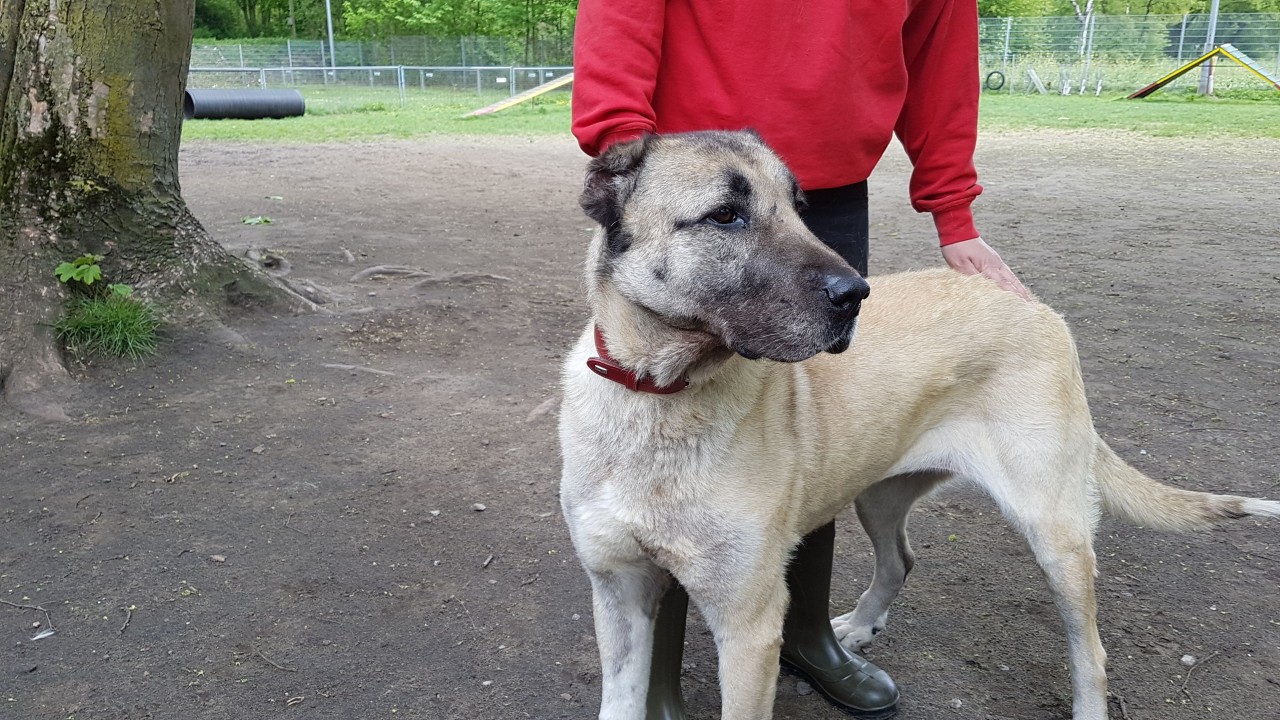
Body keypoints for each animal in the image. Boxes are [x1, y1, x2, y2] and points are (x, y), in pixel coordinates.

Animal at [558, 130, 1280, 717]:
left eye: (800, 207)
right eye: (725, 215)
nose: (855, 295)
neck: (658, 398)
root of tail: (1038, 307)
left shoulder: (748, 623)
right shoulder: (619, 594)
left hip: (1055, 532)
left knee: (1091, 656)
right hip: (877, 492)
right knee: (901, 558)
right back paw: (855, 631)